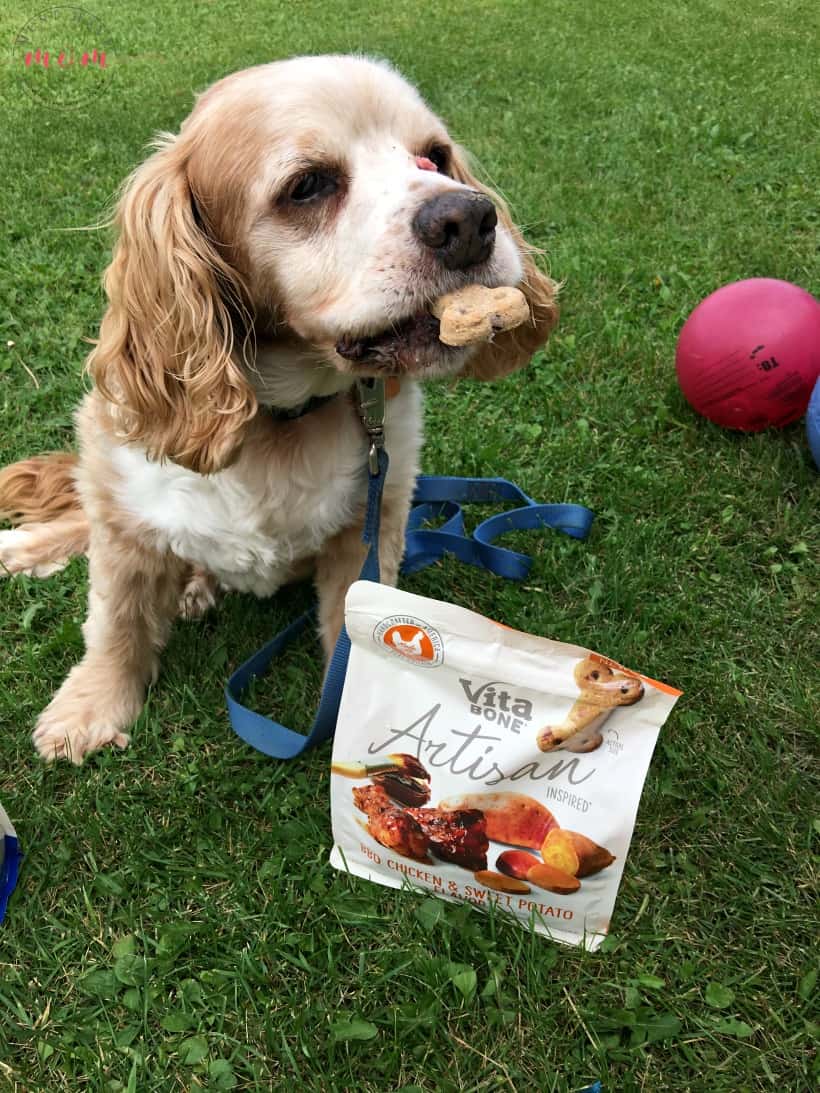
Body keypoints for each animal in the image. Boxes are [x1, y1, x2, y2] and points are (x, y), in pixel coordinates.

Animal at [0, 55, 559, 765]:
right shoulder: (124, 520)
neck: (280, 419)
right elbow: (116, 622)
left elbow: (353, 630)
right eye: (308, 186)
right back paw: (24, 548)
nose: (470, 220)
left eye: (435, 156)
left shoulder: (372, 526)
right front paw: (90, 708)